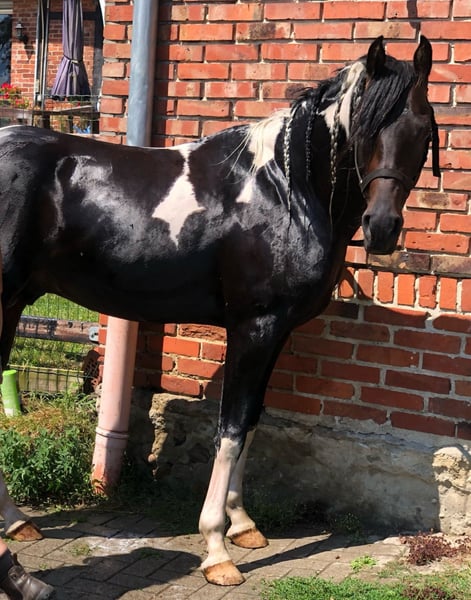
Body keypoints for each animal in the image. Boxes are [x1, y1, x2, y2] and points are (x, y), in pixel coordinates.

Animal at [0, 36, 439, 585]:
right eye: (365, 126)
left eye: (422, 127)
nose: (380, 228)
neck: (284, 192)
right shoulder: (254, 328)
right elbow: (229, 430)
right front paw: (216, 549)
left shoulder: (276, 332)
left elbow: (250, 421)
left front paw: (243, 525)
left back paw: (17, 523)